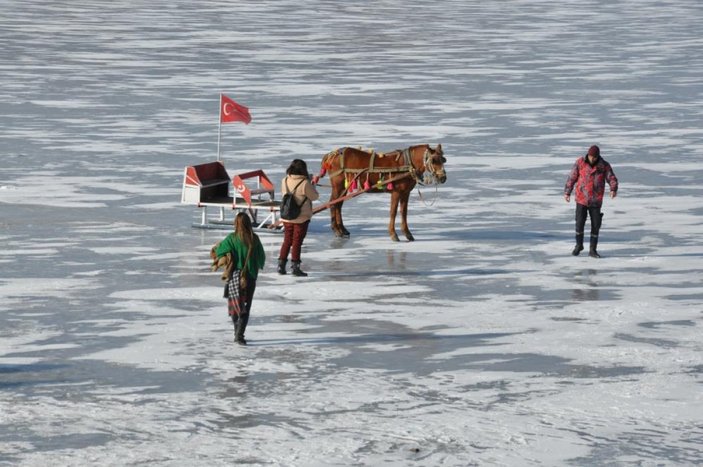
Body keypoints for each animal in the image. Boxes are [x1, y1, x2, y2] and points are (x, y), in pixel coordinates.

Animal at [316, 144, 448, 243]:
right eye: (433, 160)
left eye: (443, 160)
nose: (443, 178)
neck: (408, 165)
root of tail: (330, 155)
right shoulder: (396, 192)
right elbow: (393, 212)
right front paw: (393, 234)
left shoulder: (406, 193)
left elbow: (404, 212)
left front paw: (408, 234)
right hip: (337, 185)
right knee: (333, 203)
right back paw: (336, 230)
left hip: (344, 186)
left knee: (338, 204)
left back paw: (342, 230)